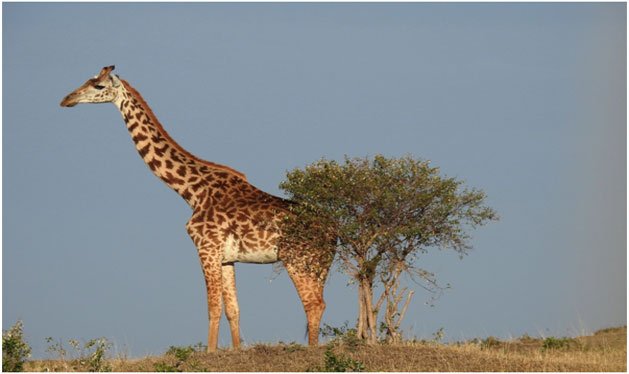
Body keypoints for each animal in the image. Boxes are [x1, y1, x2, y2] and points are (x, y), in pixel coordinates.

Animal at [60, 65, 334, 352]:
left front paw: (210, 352)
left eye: (99, 86)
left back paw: (313, 351)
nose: (66, 99)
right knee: (319, 304)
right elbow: (233, 310)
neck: (190, 192)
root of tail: (334, 231)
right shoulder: (226, 257)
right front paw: (236, 351)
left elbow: (212, 308)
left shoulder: (206, 249)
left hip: (298, 259)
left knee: (313, 304)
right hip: (319, 264)